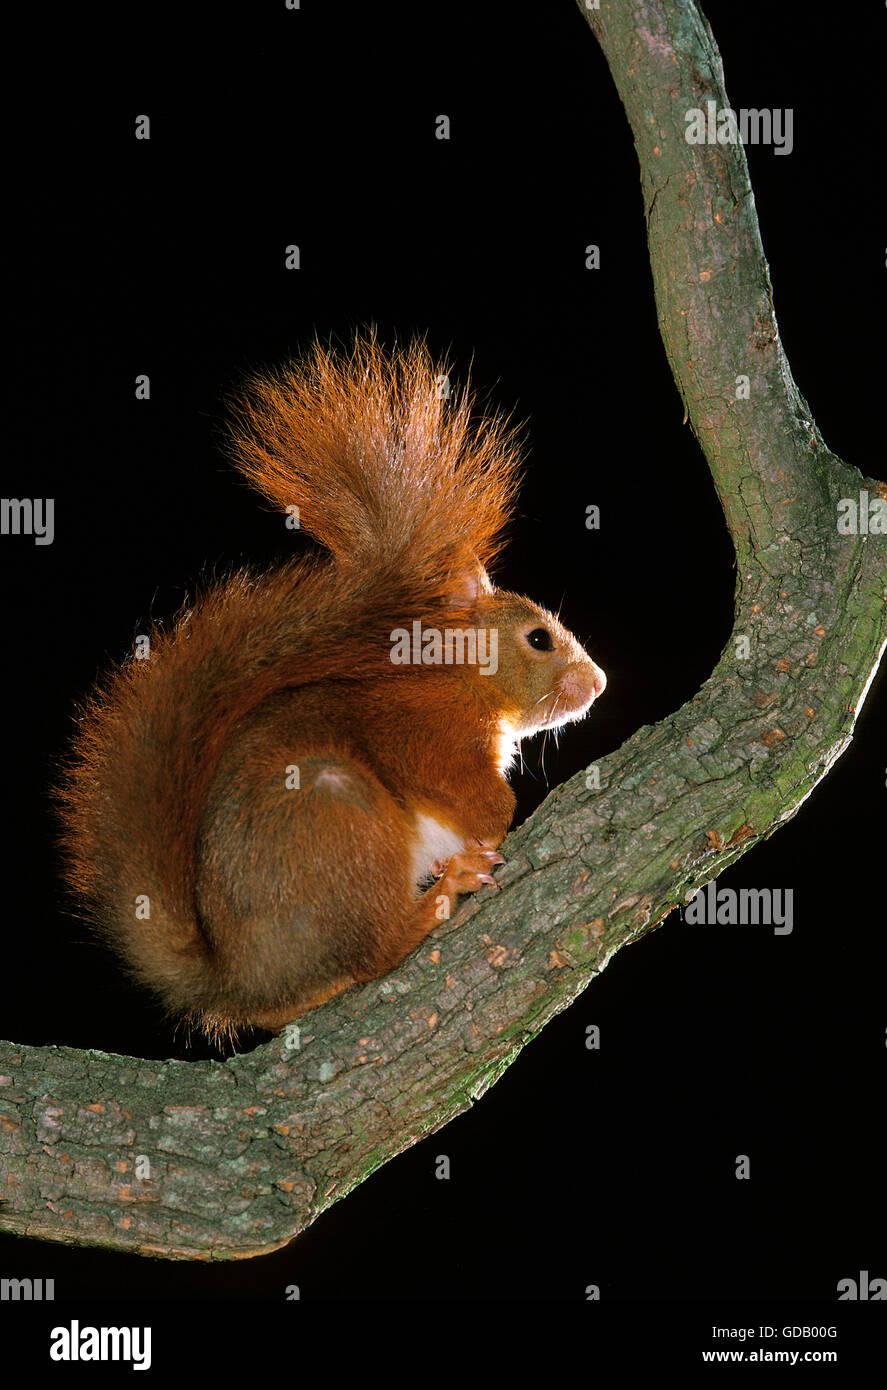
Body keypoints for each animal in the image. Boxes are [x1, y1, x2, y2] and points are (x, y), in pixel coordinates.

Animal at [57, 333, 611, 1045]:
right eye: (540, 638)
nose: (598, 684)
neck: (460, 682)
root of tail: (244, 978)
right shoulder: (423, 728)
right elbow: (465, 788)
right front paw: (495, 820)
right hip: (336, 813)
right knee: (376, 954)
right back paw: (441, 896)